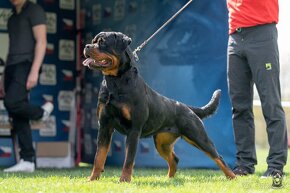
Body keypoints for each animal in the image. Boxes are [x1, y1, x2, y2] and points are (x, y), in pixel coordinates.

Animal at [82, 31, 236, 182]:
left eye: (102, 42)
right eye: (93, 41)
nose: (87, 46)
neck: (115, 82)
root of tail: (188, 108)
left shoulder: (134, 130)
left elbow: (129, 160)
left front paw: (124, 180)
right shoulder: (105, 126)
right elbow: (99, 156)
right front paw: (92, 179)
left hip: (198, 136)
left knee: (218, 157)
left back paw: (233, 177)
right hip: (162, 142)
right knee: (174, 159)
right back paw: (169, 180)